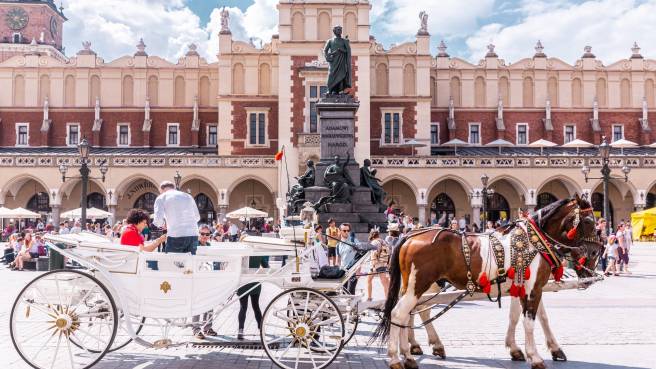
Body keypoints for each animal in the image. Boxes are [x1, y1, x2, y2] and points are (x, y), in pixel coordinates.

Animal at [376, 196, 604, 368]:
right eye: (588, 222)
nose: (596, 252)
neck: (534, 242)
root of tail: (409, 236)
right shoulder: (533, 289)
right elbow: (529, 321)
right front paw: (536, 357)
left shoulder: (523, 287)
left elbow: (529, 317)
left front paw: (526, 350)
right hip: (419, 284)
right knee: (400, 313)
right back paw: (397, 358)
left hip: (414, 286)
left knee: (409, 314)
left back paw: (409, 355)